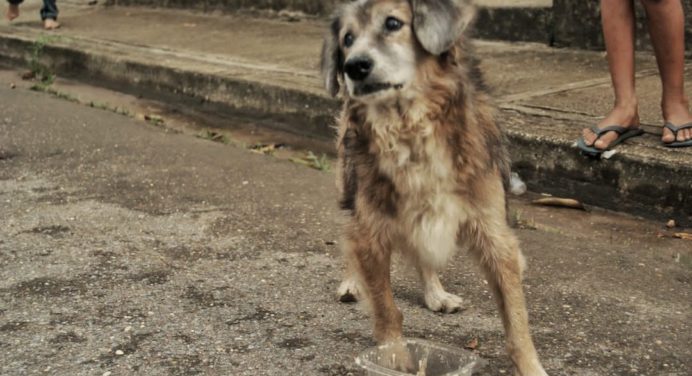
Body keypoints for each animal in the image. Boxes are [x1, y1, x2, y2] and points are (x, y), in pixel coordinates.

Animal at [322, 0, 548, 376]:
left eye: (393, 23)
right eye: (347, 39)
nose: (354, 66)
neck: (410, 128)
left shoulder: (494, 234)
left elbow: (517, 322)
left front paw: (531, 367)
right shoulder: (372, 229)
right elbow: (386, 310)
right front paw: (396, 360)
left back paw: (435, 294)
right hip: (349, 188)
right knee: (351, 236)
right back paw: (353, 282)